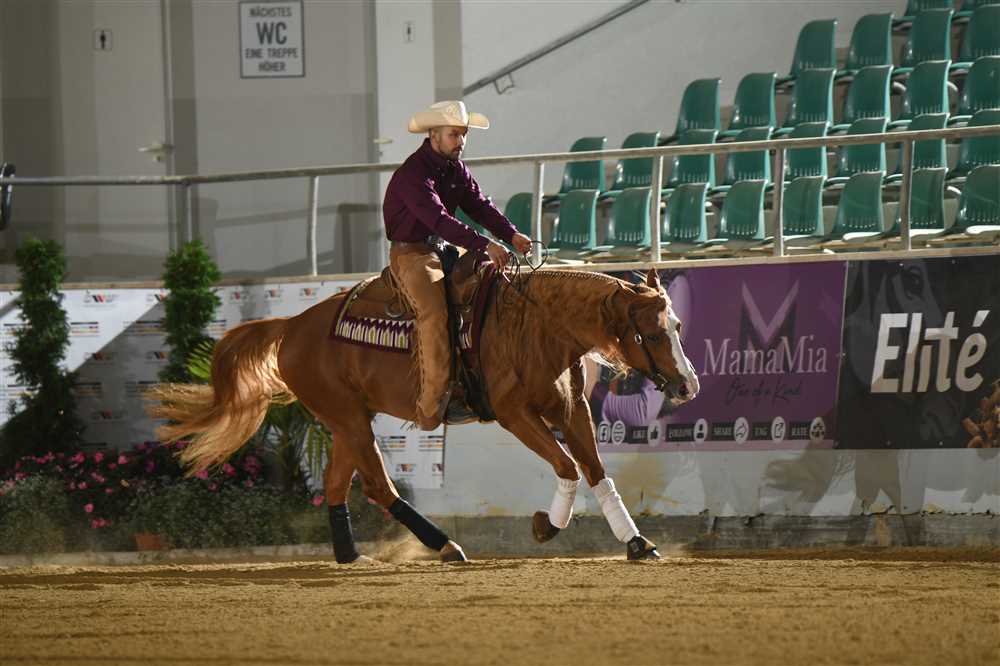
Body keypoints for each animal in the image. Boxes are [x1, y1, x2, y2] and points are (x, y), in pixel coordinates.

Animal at [149, 264, 699, 562]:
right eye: (653, 333)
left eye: (677, 326)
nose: (689, 385)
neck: (536, 324)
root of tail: (292, 325)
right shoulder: (515, 414)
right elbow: (567, 466)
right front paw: (547, 526)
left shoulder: (572, 410)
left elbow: (598, 473)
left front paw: (637, 543)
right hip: (347, 418)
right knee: (377, 485)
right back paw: (444, 546)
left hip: (348, 420)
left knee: (338, 484)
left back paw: (352, 556)